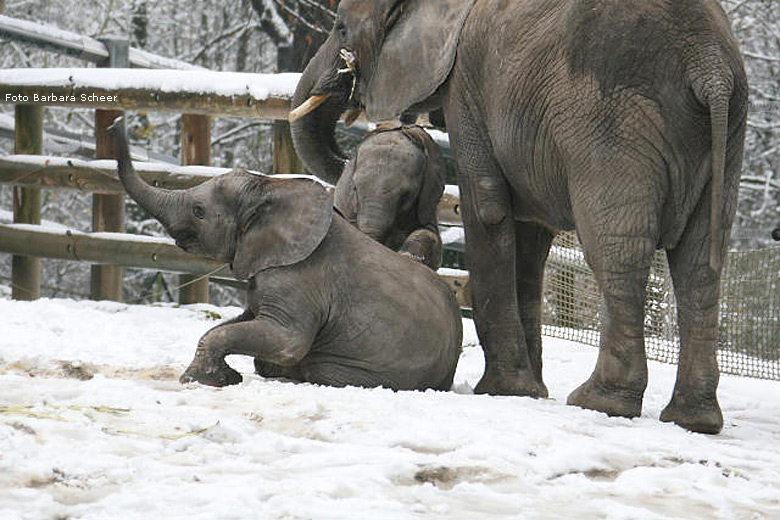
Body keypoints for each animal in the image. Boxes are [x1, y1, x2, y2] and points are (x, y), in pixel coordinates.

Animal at [288, 0, 748, 434]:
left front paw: (504, 389)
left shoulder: (467, 82)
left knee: (617, 251)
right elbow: (530, 239)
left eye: (340, 27)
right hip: (725, 131)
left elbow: (488, 207)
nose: (380, 132)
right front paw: (531, 390)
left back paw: (600, 401)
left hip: (612, 120)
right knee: (701, 262)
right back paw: (693, 419)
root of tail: (709, 63)